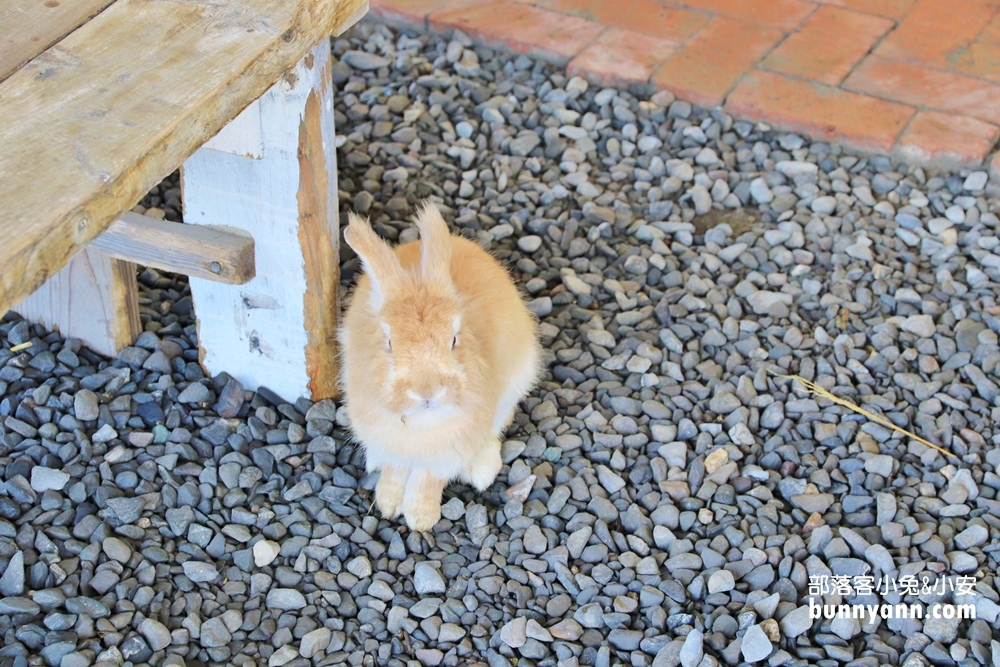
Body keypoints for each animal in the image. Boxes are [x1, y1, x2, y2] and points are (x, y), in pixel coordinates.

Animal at [340, 204, 544, 532]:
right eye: (389, 342)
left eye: (454, 339)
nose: (427, 392)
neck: (421, 421)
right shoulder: (392, 448)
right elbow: (394, 472)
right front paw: (387, 505)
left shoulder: (446, 455)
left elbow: (427, 480)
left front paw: (421, 519)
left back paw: (482, 471)